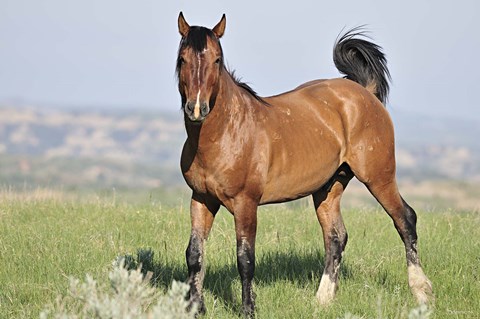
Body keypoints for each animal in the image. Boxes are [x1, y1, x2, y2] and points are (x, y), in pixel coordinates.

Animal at [176, 11, 436, 318]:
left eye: (217, 59)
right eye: (183, 58)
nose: (197, 108)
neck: (228, 132)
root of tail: (364, 94)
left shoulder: (245, 204)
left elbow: (245, 259)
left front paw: (248, 309)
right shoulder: (202, 199)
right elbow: (195, 254)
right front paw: (195, 307)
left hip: (379, 177)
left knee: (405, 220)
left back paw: (422, 292)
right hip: (329, 187)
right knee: (336, 237)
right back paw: (322, 300)